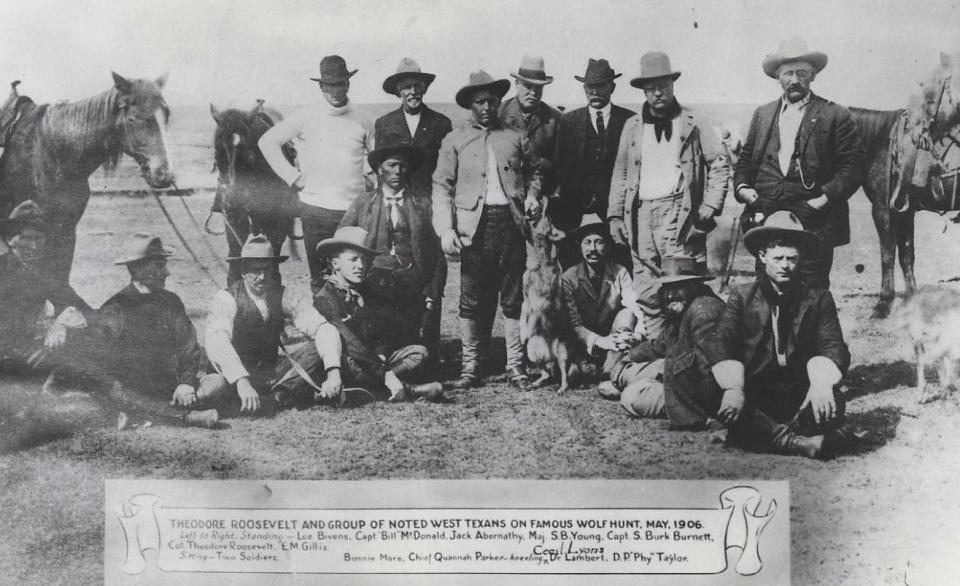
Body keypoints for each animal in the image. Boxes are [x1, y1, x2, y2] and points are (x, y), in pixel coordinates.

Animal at [209, 100, 296, 282]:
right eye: (217, 157)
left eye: (249, 159)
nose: (233, 203)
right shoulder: (233, 218)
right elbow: (235, 246)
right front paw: (234, 280)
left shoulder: (274, 216)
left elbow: (273, 245)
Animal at [516, 200, 576, 392]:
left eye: (547, 216)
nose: (543, 199)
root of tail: (550, 359)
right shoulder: (526, 300)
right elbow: (522, 318)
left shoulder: (536, 302)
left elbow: (528, 318)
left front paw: (523, 334)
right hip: (534, 353)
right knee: (546, 374)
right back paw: (537, 382)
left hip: (561, 353)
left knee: (564, 374)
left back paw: (562, 388)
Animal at [852, 53, 960, 320]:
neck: (877, 141)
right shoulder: (903, 210)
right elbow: (907, 254)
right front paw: (912, 297)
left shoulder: (883, 209)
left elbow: (887, 255)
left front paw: (883, 302)